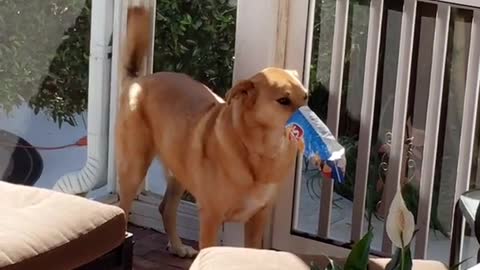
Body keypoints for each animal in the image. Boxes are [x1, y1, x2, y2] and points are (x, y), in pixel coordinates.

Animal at [118, 4, 310, 258]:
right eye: (283, 100)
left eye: (306, 97)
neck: (260, 151)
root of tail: (137, 81)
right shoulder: (211, 217)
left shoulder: (258, 218)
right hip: (134, 167)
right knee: (122, 208)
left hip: (179, 168)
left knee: (166, 208)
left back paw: (178, 247)